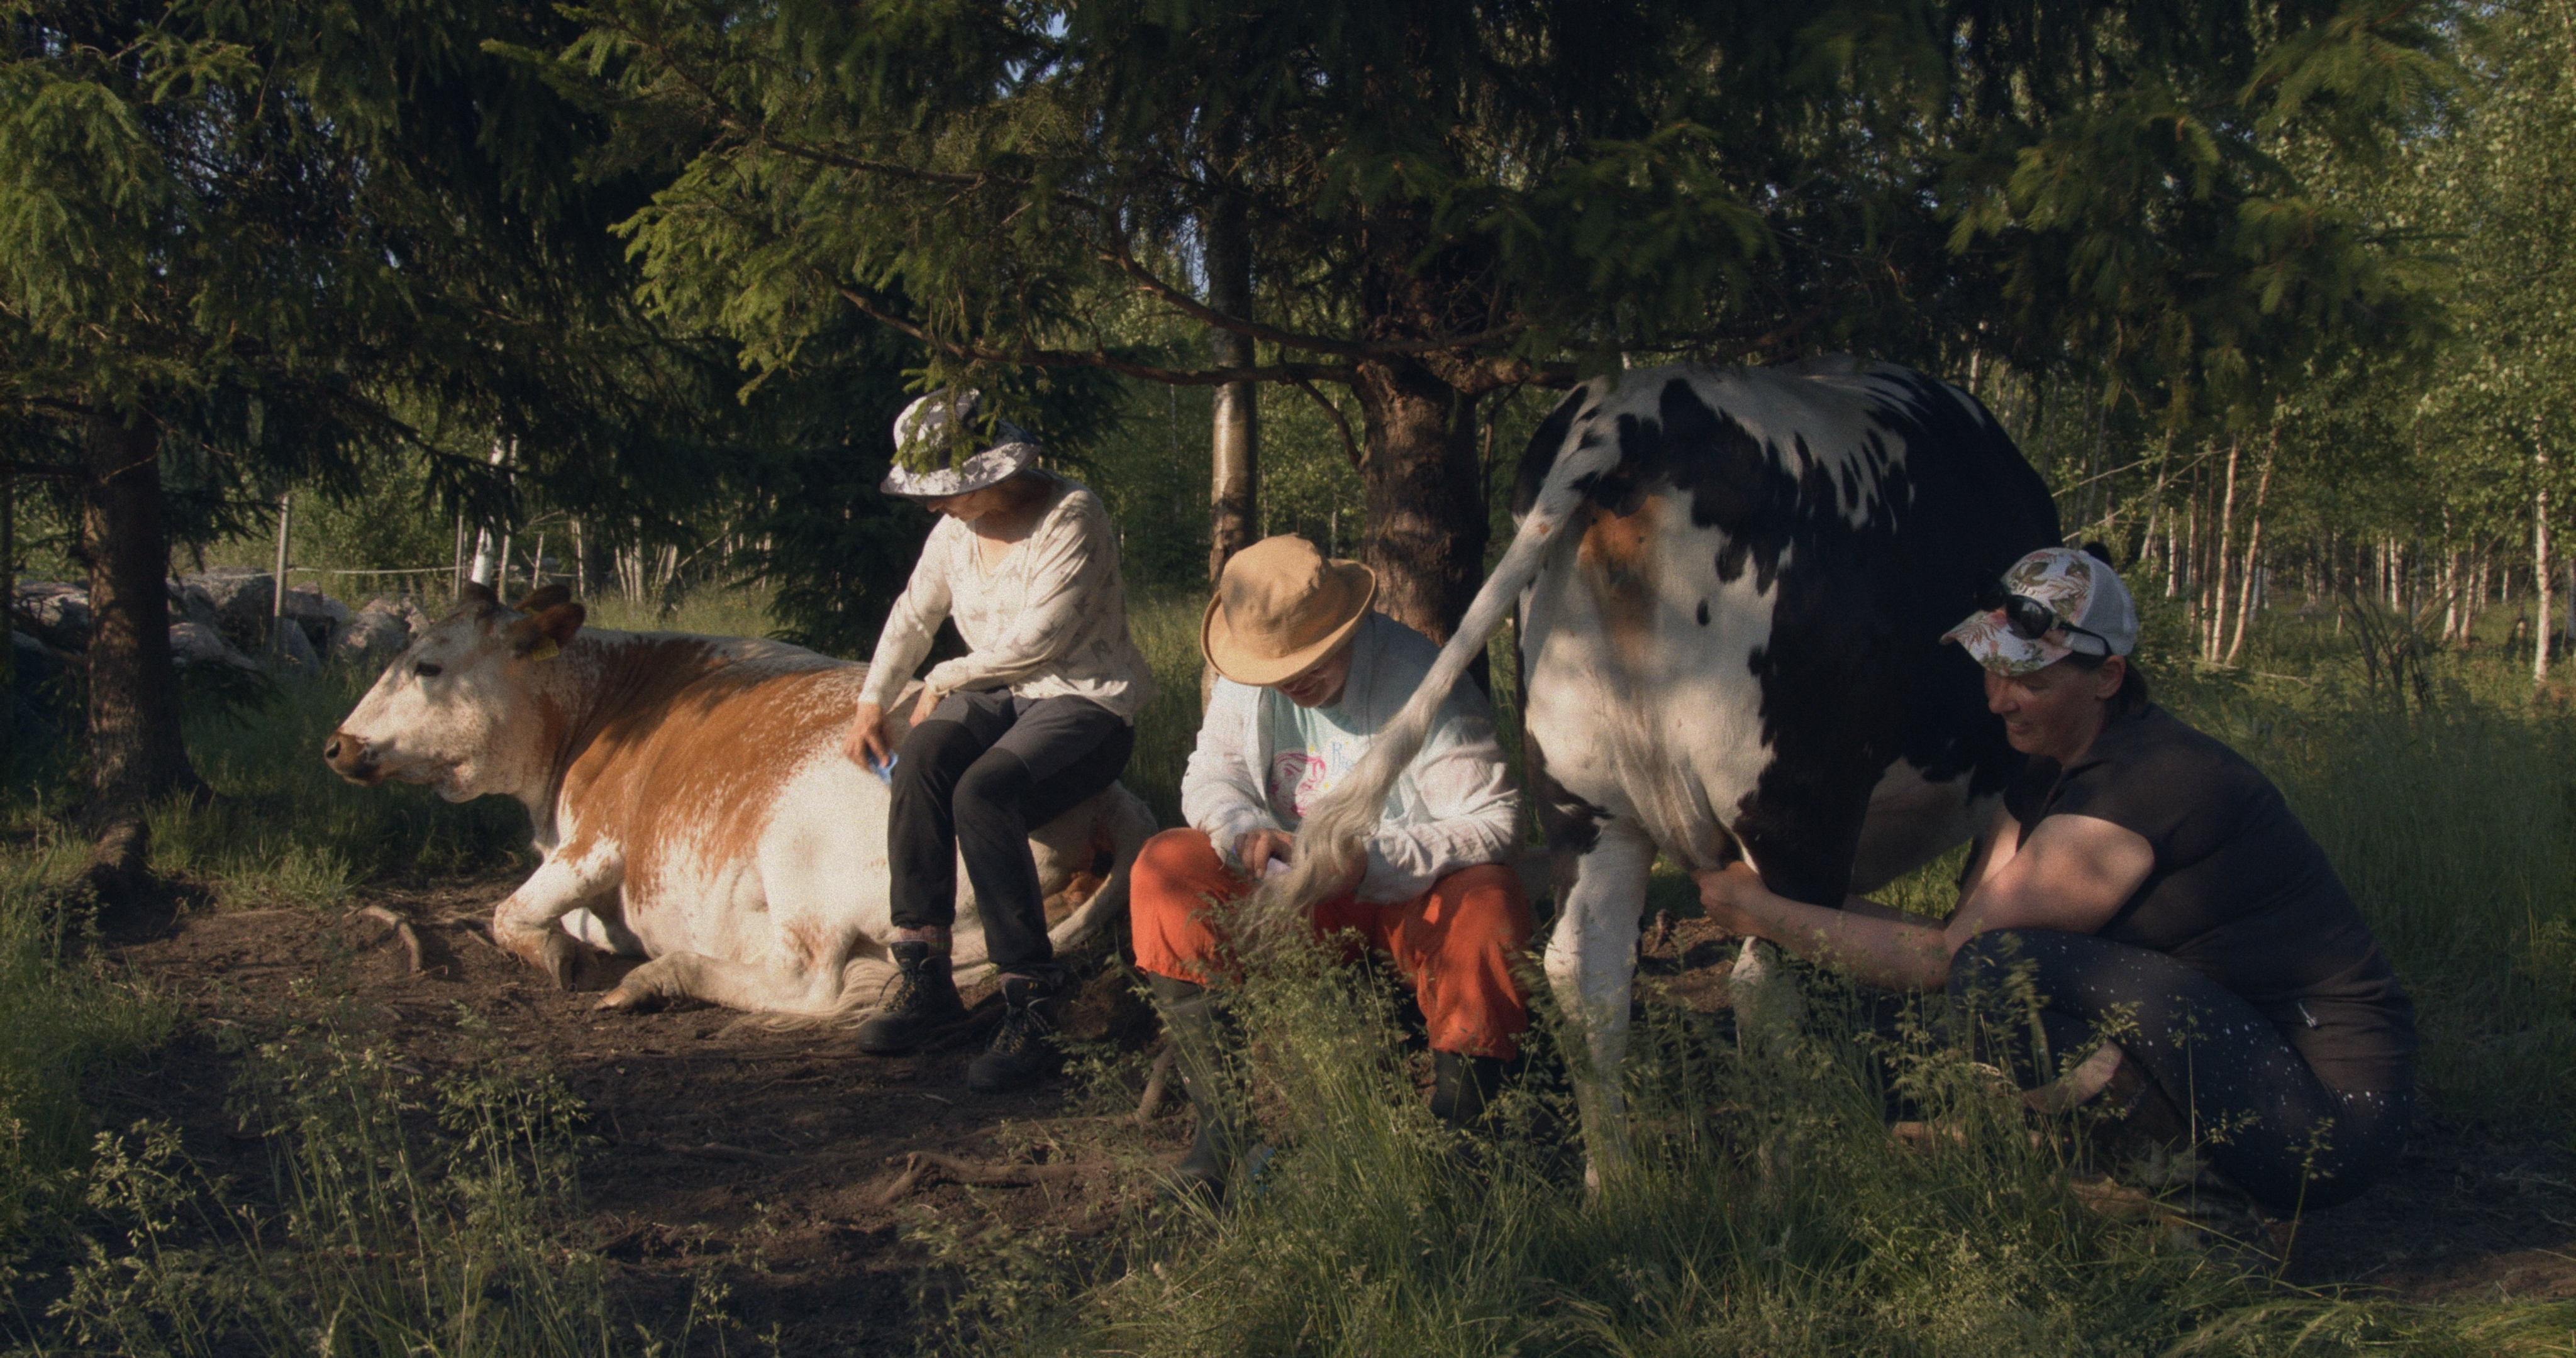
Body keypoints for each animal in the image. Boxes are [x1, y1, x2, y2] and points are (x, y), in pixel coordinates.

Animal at [322, 583, 1156, 1016]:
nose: (337, 744)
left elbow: (511, 913)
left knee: (809, 979)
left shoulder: (598, 841)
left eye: (427, 665)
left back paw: (655, 978)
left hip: (803, 857)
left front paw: (561, 955)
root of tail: (1117, 800)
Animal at [1261, 357, 2060, 1180]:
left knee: (1586, 972)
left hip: (1582, 802)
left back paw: (1615, 1184)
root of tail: (1640, 402)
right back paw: (1786, 1176)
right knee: (1766, 984)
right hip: (1796, 811)